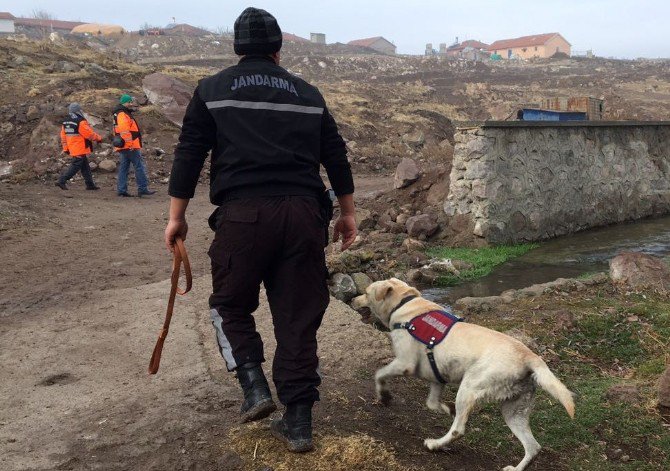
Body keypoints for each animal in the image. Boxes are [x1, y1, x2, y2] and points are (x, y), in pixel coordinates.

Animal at [352, 278, 576, 470]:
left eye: (366, 292)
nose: (353, 300)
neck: (404, 305)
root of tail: (530, 357)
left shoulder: (404, 363)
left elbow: (379, 374)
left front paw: (384, 396)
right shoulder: (437, 377)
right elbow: (431, 403)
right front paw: (446, 409)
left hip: (469, 388)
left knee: (458, 429)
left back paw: (435, 444)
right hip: (514, 410)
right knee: (533, 447)